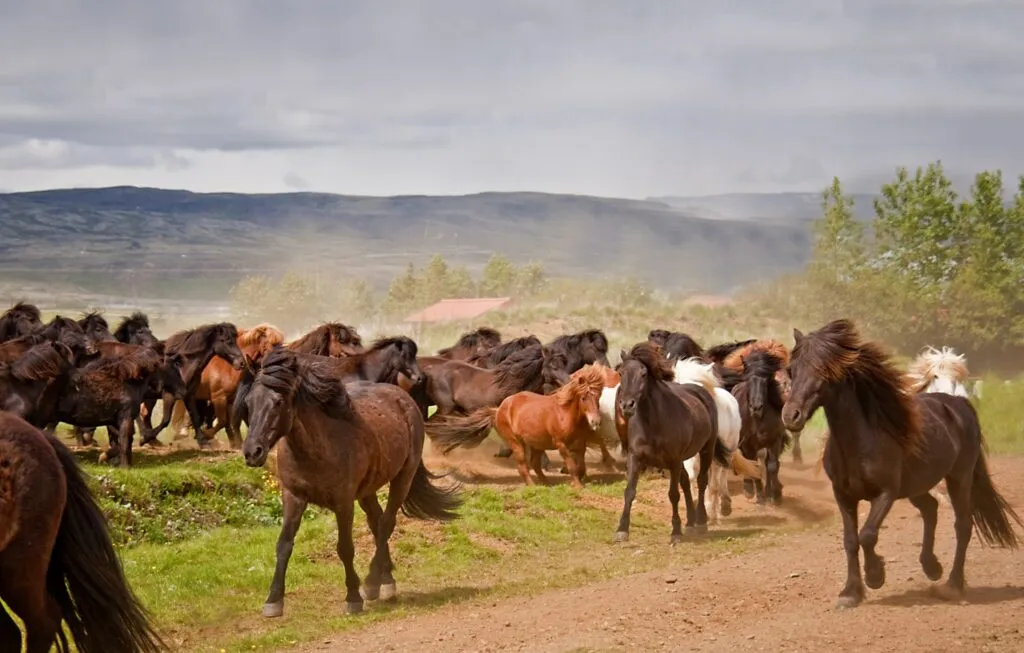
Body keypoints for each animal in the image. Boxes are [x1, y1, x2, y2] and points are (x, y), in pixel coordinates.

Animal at [234, 347, 462, 618]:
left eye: (278, 402)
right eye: (249, 402)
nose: (252, 452)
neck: (317, 448)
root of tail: (402, 397)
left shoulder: (343, 503)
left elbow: (345, 548)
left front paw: (353, 597)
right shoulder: (293, 497)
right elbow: (283, 545)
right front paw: (273, 601)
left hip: (402, 479)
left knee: (387, 523)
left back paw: (373, 584)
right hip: (367, 490)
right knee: (377, 523)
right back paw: (386, 581)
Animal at [428, 365, 607, 487]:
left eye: (598, 396)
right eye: (583, 398)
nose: (595, 422)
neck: (565, 415)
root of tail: (498, 409)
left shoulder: (580, 444)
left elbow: (580, 464)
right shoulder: (560, 444)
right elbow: (571, 464)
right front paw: (577, 486)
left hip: (536, 444)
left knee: (535, 464)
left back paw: (546, 484)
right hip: (516, 442)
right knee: (523, 465)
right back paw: (532, 485)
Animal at [673, 357, 745, 523]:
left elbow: (713, 485)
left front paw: (710, 513)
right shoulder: (689, 457)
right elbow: (692, 477)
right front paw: (695, 505)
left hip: (727, 451)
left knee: (721, 476)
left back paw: (723, 506)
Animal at [731, 350, 790, 506]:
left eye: (766, 381)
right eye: (748, 379)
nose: (756, 407)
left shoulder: (775, 441)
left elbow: (772, 465)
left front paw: (774, 495)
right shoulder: (748, 444)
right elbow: (754, 467)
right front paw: (760, 497)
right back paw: (749, 489)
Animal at [781, 319, 1022, 607]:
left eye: (824, 370)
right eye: (792, 370)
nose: (791, 416)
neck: (860, 442)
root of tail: (957, 403)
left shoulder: (886, 493)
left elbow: (868, 535)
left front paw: (875, 576)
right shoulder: (843, 495)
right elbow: (850, 540)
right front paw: (850, 593)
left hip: (959, 478)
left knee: (963, 525)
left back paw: (952, 586)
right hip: (917, 485)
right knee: (930, 509)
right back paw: (932, 567)